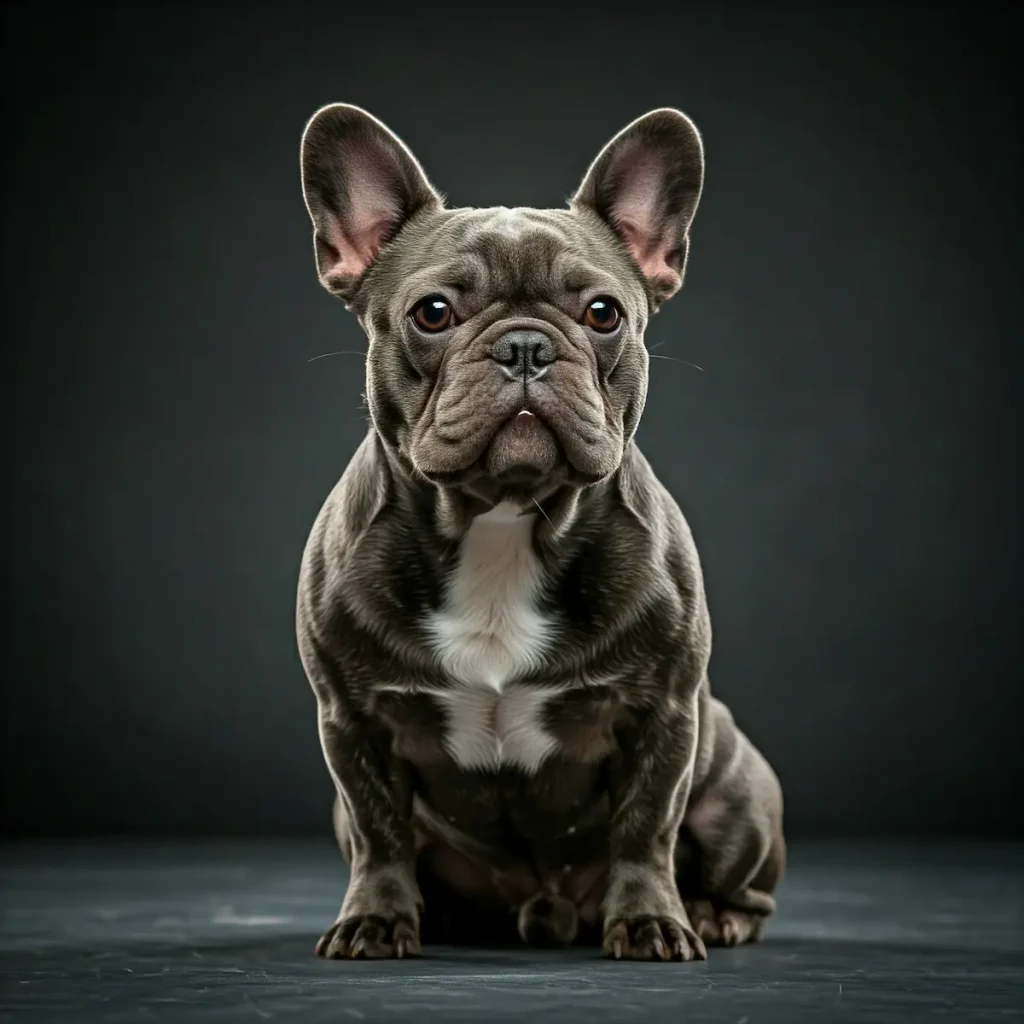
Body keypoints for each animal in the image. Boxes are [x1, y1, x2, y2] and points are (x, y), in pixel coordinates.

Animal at [296, 103, 782, 958]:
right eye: (432, 313)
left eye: (603, 314)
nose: (525, 344)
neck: (501, 521)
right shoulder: (350, 720)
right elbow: (378, 831)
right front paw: (376, 919)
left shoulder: (665, 712)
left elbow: (645, 827)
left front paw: (651, 921)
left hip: (738, 793)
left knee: (743, 879)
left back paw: (713, 915)